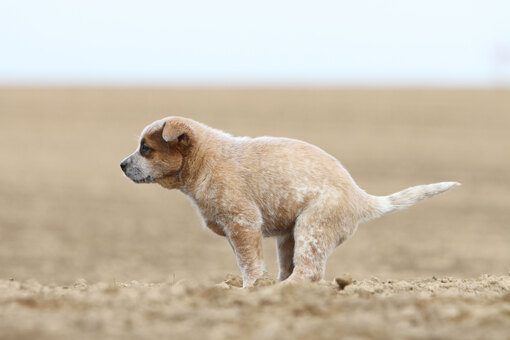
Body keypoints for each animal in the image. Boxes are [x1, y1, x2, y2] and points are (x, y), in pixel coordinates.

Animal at [121, 117, 460, 286]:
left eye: (146, 149)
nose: (122, 165)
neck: (205, 161)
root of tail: (360, 196)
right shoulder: (236, 231)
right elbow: (246, 263)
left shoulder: (243, 224)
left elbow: (249, 265)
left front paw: (250, 291)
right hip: (289, 237)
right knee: (296, 268)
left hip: (313, 227)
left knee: (309, 270)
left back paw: (282, 292)